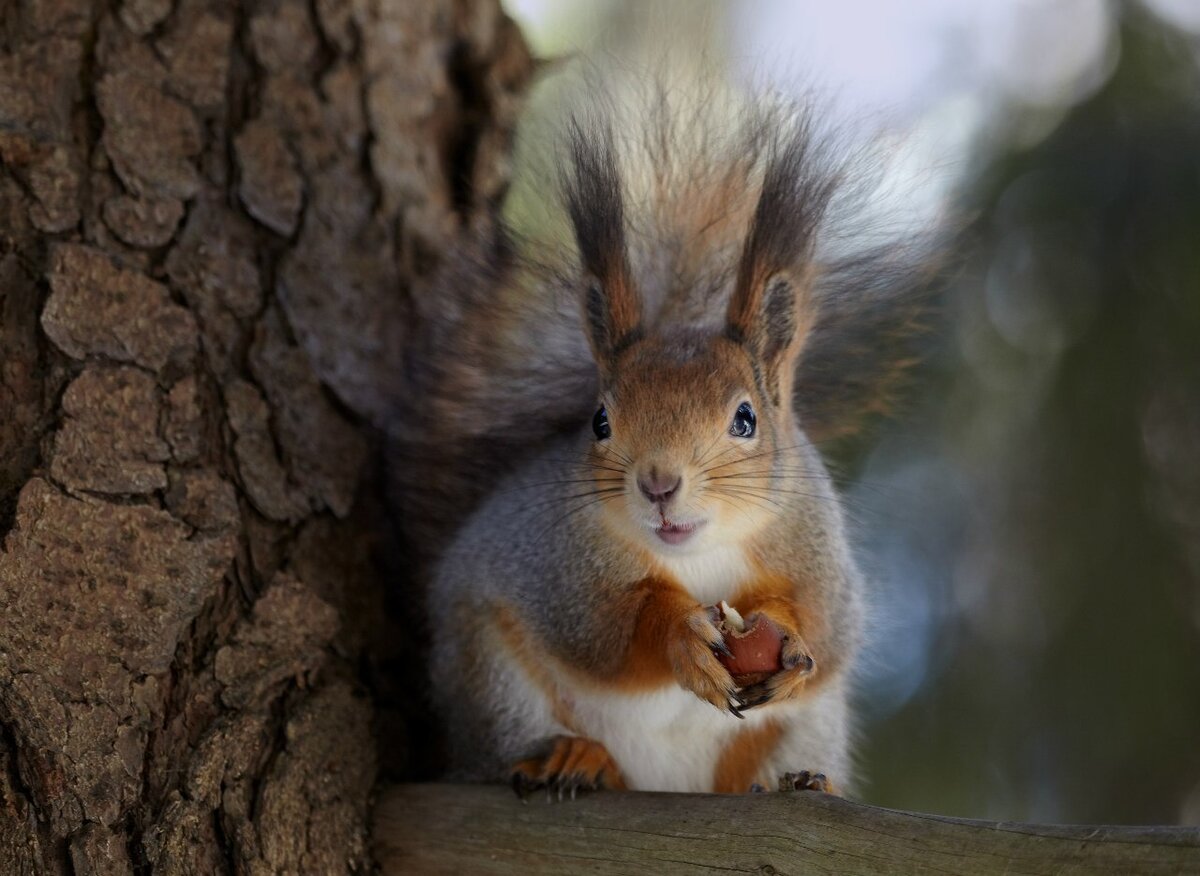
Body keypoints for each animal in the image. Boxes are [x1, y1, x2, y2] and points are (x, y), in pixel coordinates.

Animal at [393, 78, 936, 796]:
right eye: (600, 421)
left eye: (745, 419)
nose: (658, 483)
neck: (698, 558)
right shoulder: (556, 563)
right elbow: (608, 632)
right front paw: (681, 636)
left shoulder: (818, 549)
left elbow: (826, 623)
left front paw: (789, 638)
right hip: (489, 677)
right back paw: (572, 757)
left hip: (807, 726)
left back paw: (795, 782)